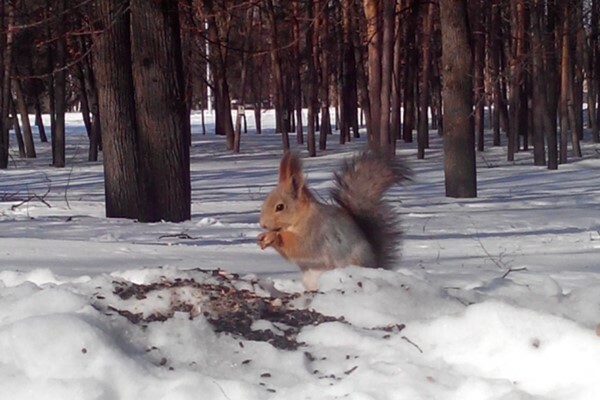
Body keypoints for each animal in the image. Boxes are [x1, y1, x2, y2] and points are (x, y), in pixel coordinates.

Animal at [258, 151, 408, 290]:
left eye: (280, 207)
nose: (262, 224)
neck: (301, 217)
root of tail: (376, 266)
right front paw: (262, 237)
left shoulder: (316, 232)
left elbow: (301, 246)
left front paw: (274, 237)